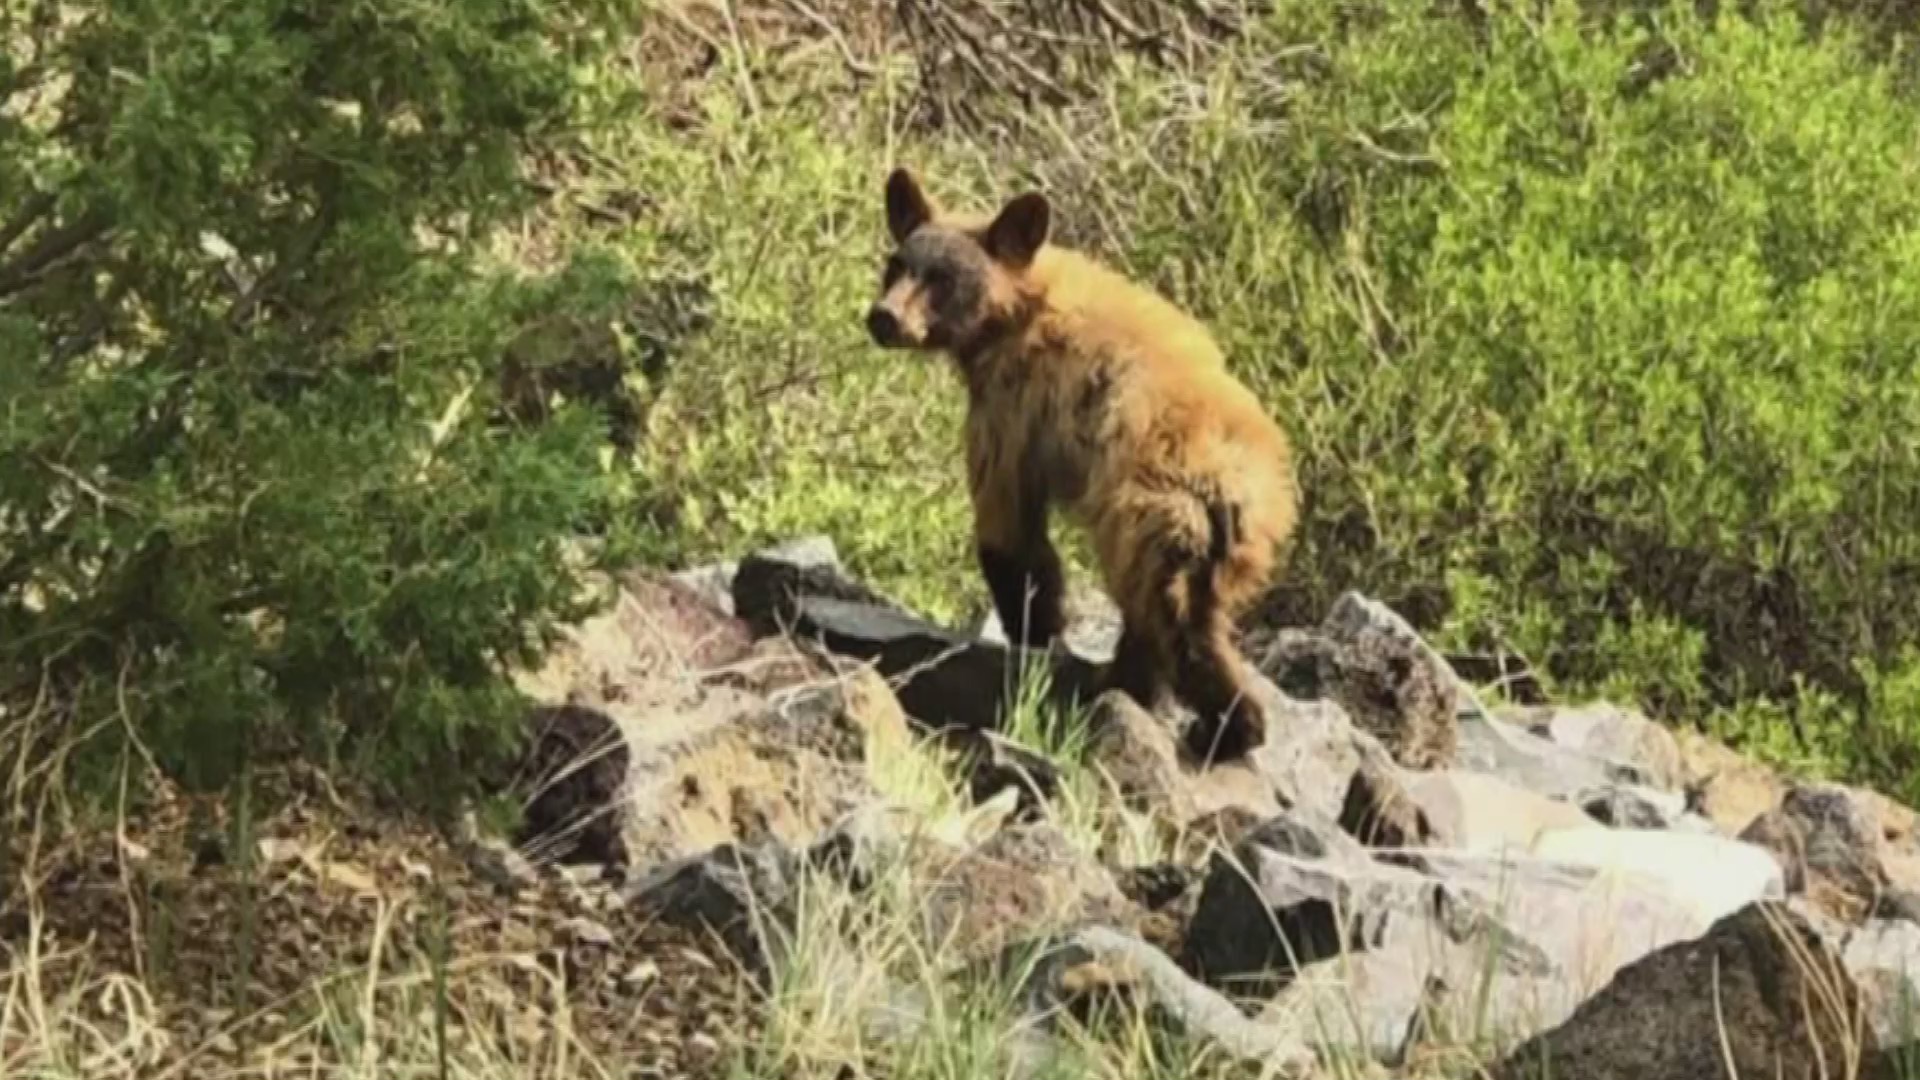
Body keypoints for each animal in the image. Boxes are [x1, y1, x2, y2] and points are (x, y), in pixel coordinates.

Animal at [863, 166, 1299, 763]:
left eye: (943, 279)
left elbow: (1009, 530)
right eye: (897, 265)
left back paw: (1213, 722)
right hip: (1239, 545)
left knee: (1167, 622)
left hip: (1152, 517)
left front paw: (1036, 637)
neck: (1019, 310)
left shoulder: (1012, 407)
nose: (884, 318)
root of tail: (1230, 482)